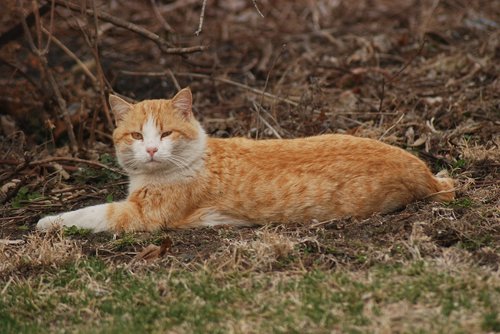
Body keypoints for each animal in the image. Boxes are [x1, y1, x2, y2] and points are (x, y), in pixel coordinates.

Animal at [37, 86, 456, 232]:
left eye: (166, 134)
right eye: (138, 136)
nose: (152, 150)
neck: (196, 157)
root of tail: (426, 174)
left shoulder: (141, 216)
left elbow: (90, 213)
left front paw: (46, 222)